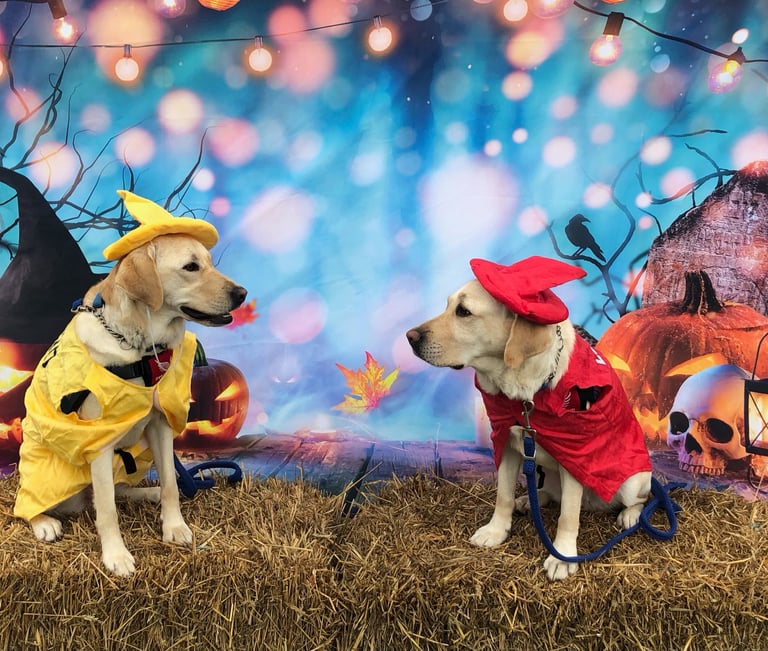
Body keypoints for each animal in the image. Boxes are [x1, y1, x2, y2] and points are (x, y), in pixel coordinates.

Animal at [14, 191, 247, 577]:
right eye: (191, 267)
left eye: (210, 263)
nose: (242, 293)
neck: (140, 348)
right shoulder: (99, 442)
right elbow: (107, 510)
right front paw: (116, 556)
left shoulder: (161, 425)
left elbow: (170, 483)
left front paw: (174, 526)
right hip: (50, 474)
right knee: (35, 504)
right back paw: (44, 522)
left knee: (117, 491)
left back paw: (145, 494)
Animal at [406, 256, 652, 580]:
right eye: (448, 306)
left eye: (463, 311)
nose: (409, 338)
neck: (524, 391)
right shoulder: (508, 442)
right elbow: (503, 495)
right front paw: (496, 530)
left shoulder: (576, 453)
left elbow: (568, 516)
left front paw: (563, 556)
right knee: (548, 493)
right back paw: (530, 500)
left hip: (632, 480)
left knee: (641, 499)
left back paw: (630, 515)